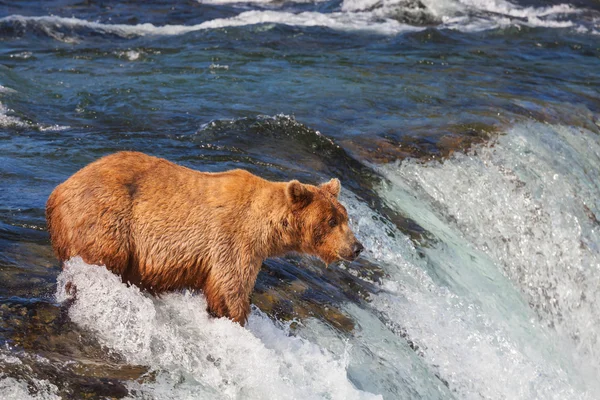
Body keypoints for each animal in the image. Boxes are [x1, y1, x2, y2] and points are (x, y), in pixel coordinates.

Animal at [47, 152, 364, 324]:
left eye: (345, 217)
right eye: (332, 221)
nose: (357, 247)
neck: (266, 226)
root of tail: (57, 192)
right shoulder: (232, 240)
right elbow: (229, 287)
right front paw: (237, 318)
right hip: (105, 221)